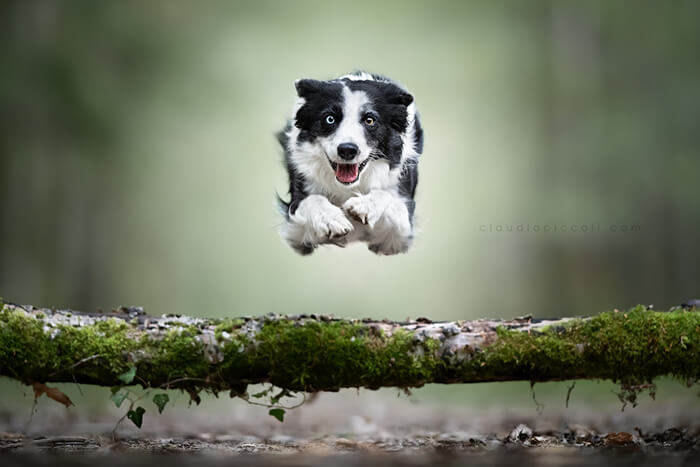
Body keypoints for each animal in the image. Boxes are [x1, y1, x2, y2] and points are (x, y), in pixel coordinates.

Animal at [278, 71, 422, 258]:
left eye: (370, 120)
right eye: (330, 119)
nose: (347, 150)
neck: (348, 187)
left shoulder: (400, 234)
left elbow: (389, 198)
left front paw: (363, 206)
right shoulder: (294, 227)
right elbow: (311, 199)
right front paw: (332, 219)